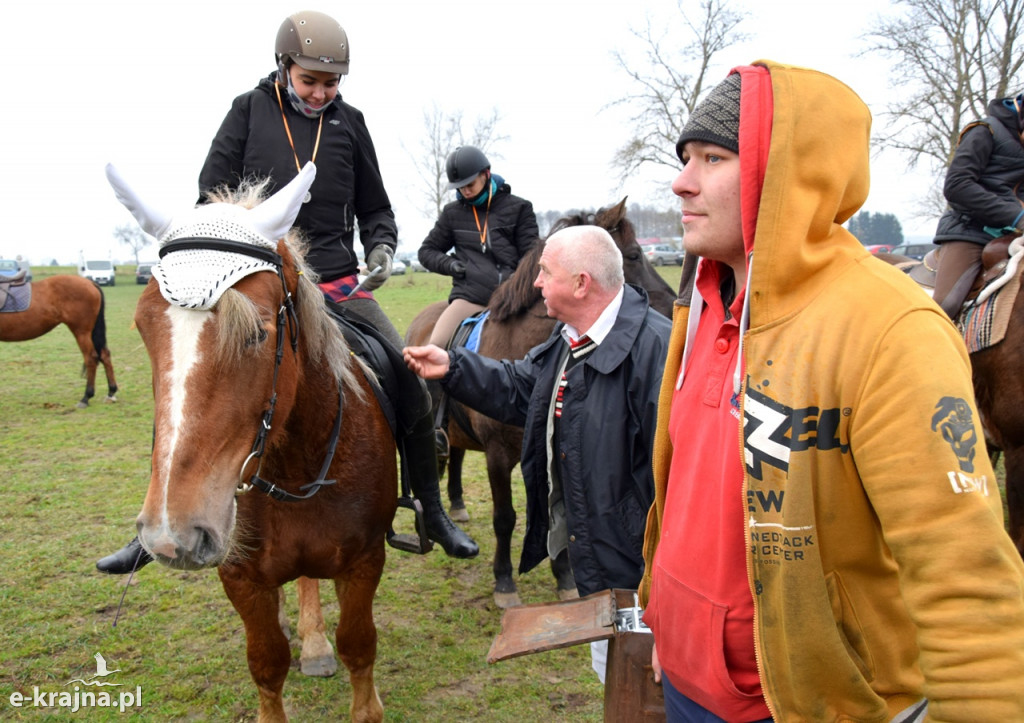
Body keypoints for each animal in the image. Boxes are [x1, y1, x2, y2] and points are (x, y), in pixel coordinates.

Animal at [0, 272, 117, 405]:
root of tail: (90, 283)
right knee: (104, 355)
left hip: (82, 332)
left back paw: (86, 397)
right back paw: (111, 392)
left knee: (91, 358)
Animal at [108, 163, 395, 720]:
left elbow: (359, 648)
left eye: (258, 334)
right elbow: (266, 663)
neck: (298, 468)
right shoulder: (241, 577)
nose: (174, 534)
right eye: (143, 329)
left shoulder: (365, 561)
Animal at [403, 198, 675, 606]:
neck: (517, 343)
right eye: (634, 254)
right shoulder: (499, 456)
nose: (676, 304)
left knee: (458, 457)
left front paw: (564, 578)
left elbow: (554, 509)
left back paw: (457, 505)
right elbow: (505, 518)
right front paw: (504, 581)